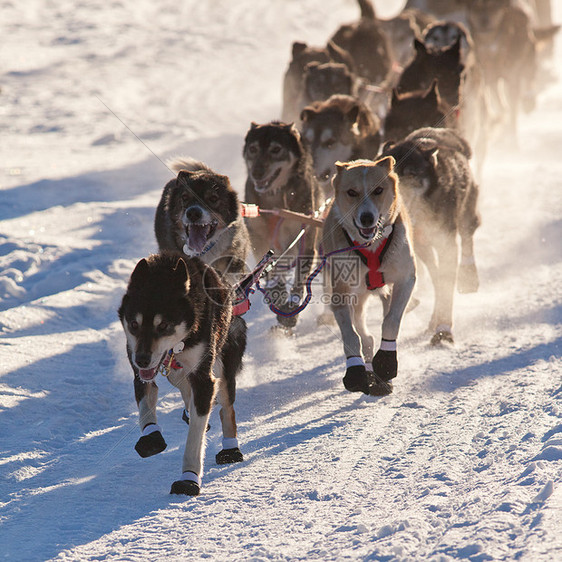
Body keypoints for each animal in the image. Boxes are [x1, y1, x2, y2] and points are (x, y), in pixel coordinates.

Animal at [117, 254, 244, 494]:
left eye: (163, 325)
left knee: (227, 407)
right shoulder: (141, 373)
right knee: (182, 384)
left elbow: (195, 436)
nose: (142, 359)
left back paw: (230, 448)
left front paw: (189, 478)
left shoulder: (204, 379)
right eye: (134, 324)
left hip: (223, 364)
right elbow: (145, 406)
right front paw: (152, 436)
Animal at [320, 155, 416, 396]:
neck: (370, 246)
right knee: (366, 337)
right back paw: (370, 370)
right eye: (351, 192)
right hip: (357, 300)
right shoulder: (340, 294)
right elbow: (351, 337)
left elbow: (390, 322)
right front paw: (355, 370)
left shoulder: (406, 279)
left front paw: (387, 361)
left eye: (378, 190)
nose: (366, 218)